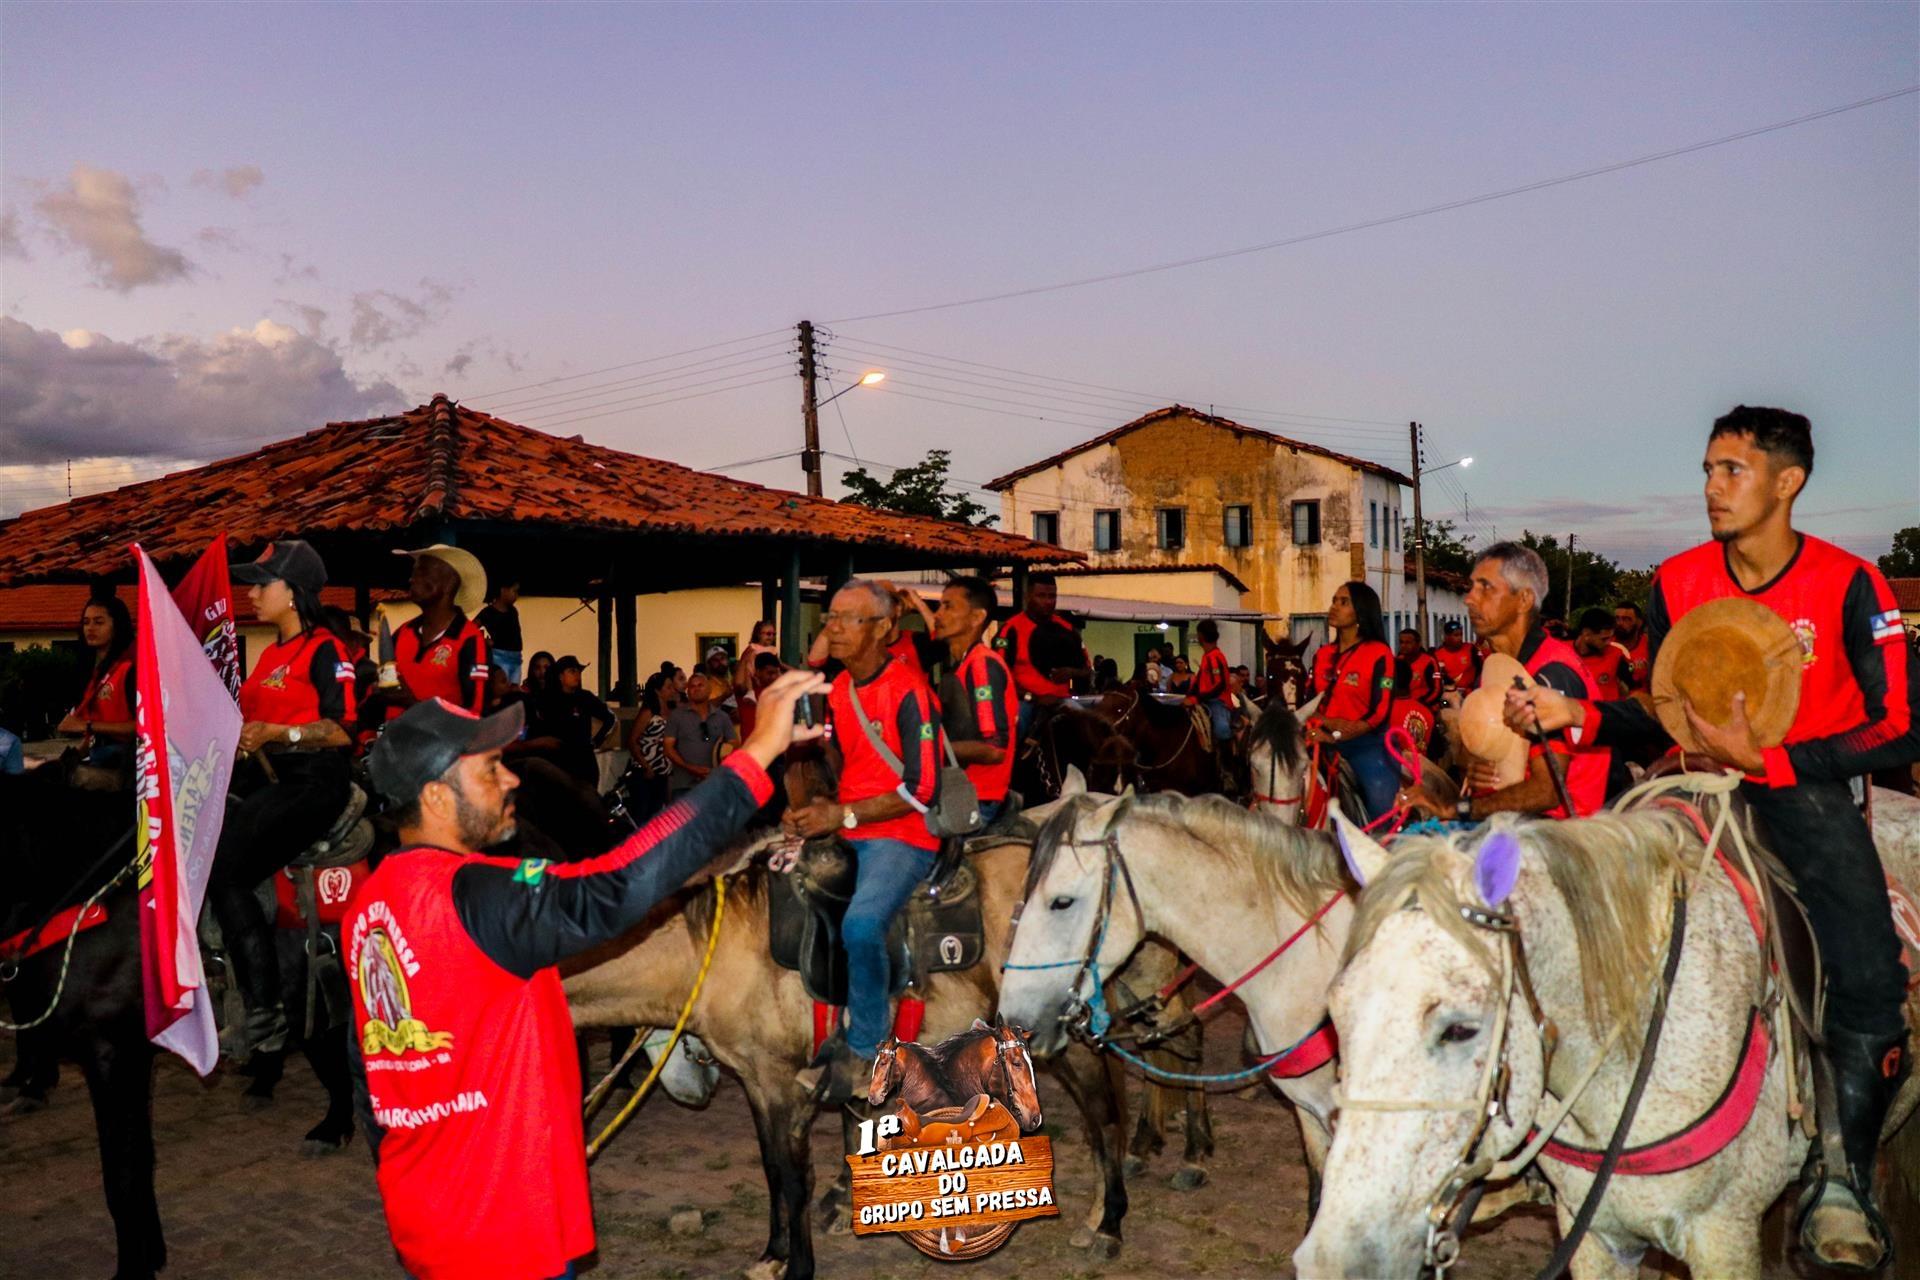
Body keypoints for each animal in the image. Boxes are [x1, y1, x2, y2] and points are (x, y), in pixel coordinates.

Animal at [0, 765, 163, 1280]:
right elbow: (138, 1158)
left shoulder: (112, 1056)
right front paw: (150, 1252)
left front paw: (133, 1269)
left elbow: (122, 1173)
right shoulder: (133, 1059)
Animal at [561, 777, 1207, 1280]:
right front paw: (772, 1253)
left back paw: (1114, 1220)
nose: (694, 1090)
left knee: (1106, 1107)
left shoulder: (781, 1083)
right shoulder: (757, 1084)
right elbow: (773, 1169)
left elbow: (793, 1178)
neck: (720, 948)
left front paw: (797, 1264)